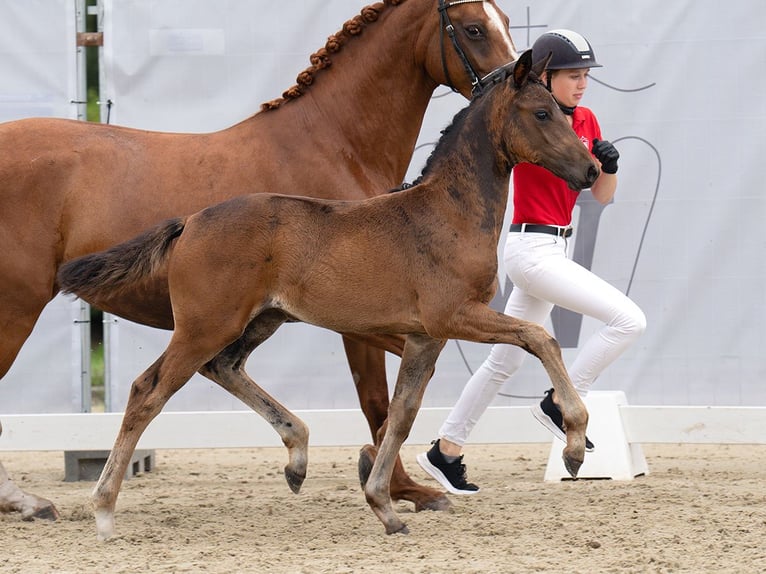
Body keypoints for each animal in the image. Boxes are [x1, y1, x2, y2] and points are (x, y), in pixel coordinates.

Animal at [0, 0, 520, 520]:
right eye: (473, 28)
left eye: (507, 21)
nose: (513, 78)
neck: (335, 144)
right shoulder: (364, 320)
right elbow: (379, 400)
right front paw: (401, 487)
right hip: (21, 309)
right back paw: (25, 501)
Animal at [60, 49, 600, 540]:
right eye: (542, 113)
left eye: (561, 109)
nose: (593, 169)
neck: (449, 212)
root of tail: (190, 221)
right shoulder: (453, 316)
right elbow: (539, 338)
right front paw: (574, 443)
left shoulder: (423, 337)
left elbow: (401, 415)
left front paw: (385, 507)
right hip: (204, 326)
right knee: (147, 392)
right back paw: (104, 511)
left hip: (260, 320)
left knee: (224, 367)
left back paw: (297, 458)